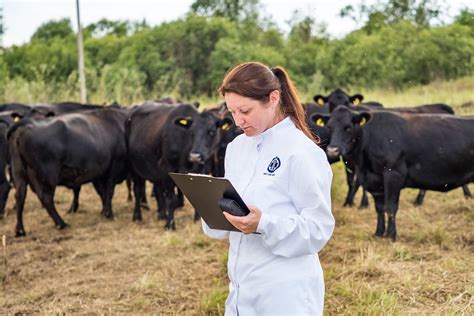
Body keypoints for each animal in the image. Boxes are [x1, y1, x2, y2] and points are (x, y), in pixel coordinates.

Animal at [7, 107, 130, 236]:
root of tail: (24, 125)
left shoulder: (99, 173)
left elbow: (102, 193)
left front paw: (103, 211)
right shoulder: (114, 166)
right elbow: (109, 191)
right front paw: (109, 214)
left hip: (19, 172)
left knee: (20, 196)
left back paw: (20, 229)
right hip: (47, 176)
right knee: (45, 197)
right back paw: (61, 223)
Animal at [326, 107, 474, 241]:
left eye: (348, 127)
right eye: (329, 127)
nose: (332, 150)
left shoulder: (393, 175)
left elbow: (391, 208)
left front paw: (391, 235)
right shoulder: (376, 182)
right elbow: (379, 208)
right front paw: (378, 233)